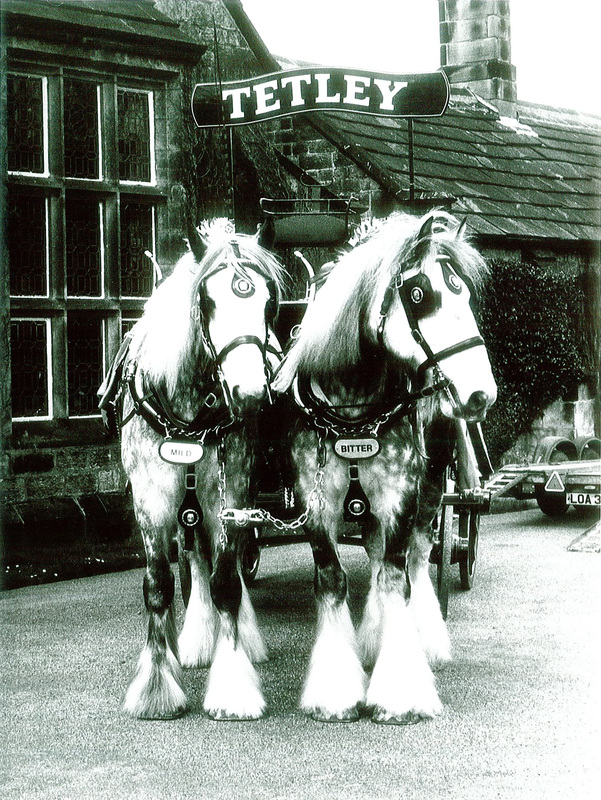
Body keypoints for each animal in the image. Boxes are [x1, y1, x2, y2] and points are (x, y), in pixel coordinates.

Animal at [113, 222, 284, 720]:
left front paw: (232, 686)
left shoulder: (230, 491)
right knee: (190, 558)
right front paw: (155, 686)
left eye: (268, 303)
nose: (250, 392)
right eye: (207, 302)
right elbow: (158, 584)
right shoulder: (151, 496)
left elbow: (226, 581)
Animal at [274, 209, 494, 720]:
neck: (353, 408)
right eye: (419, 295)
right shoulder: (316, 502)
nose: (481, 393)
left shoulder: (399, 495)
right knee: (376, 556)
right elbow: (333, 579)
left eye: (465, 294)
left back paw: (423, 638)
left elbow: (397, 580)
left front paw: (400, 692)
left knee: (414, 559)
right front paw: (336, 690)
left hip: (429, 489)